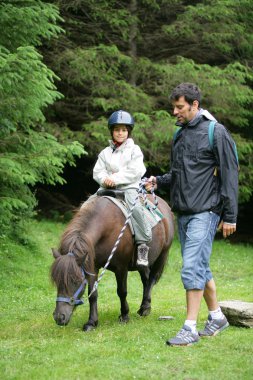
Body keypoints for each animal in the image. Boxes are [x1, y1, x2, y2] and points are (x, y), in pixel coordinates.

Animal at [51, 194, 174, 332]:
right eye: (56, 281)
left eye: (76, 281)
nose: (59, 317)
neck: (106, 227)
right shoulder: (92, 267)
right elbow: (92, 294)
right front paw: (91, 322)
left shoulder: (121, 268)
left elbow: (122, 291)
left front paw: (124, 315)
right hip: (142, 263)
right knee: (146, 280)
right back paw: (144, 306)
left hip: (162, 255)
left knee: (152, 279)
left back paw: (145, 308)